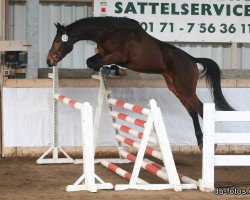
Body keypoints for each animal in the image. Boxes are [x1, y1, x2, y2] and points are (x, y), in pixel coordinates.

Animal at [47, 16, 234, 148]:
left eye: (57, 41)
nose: (49, 61)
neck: (108, 31)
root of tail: (193, 60)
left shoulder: (118, 55)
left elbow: (92, 62)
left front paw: (115, 70)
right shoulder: (106, 55)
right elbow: (92, 61)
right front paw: (113, 70)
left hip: (185, 89)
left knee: (201, 109)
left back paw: (211, 145)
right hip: (177, 89)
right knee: (193, 112)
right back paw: (201, 143)